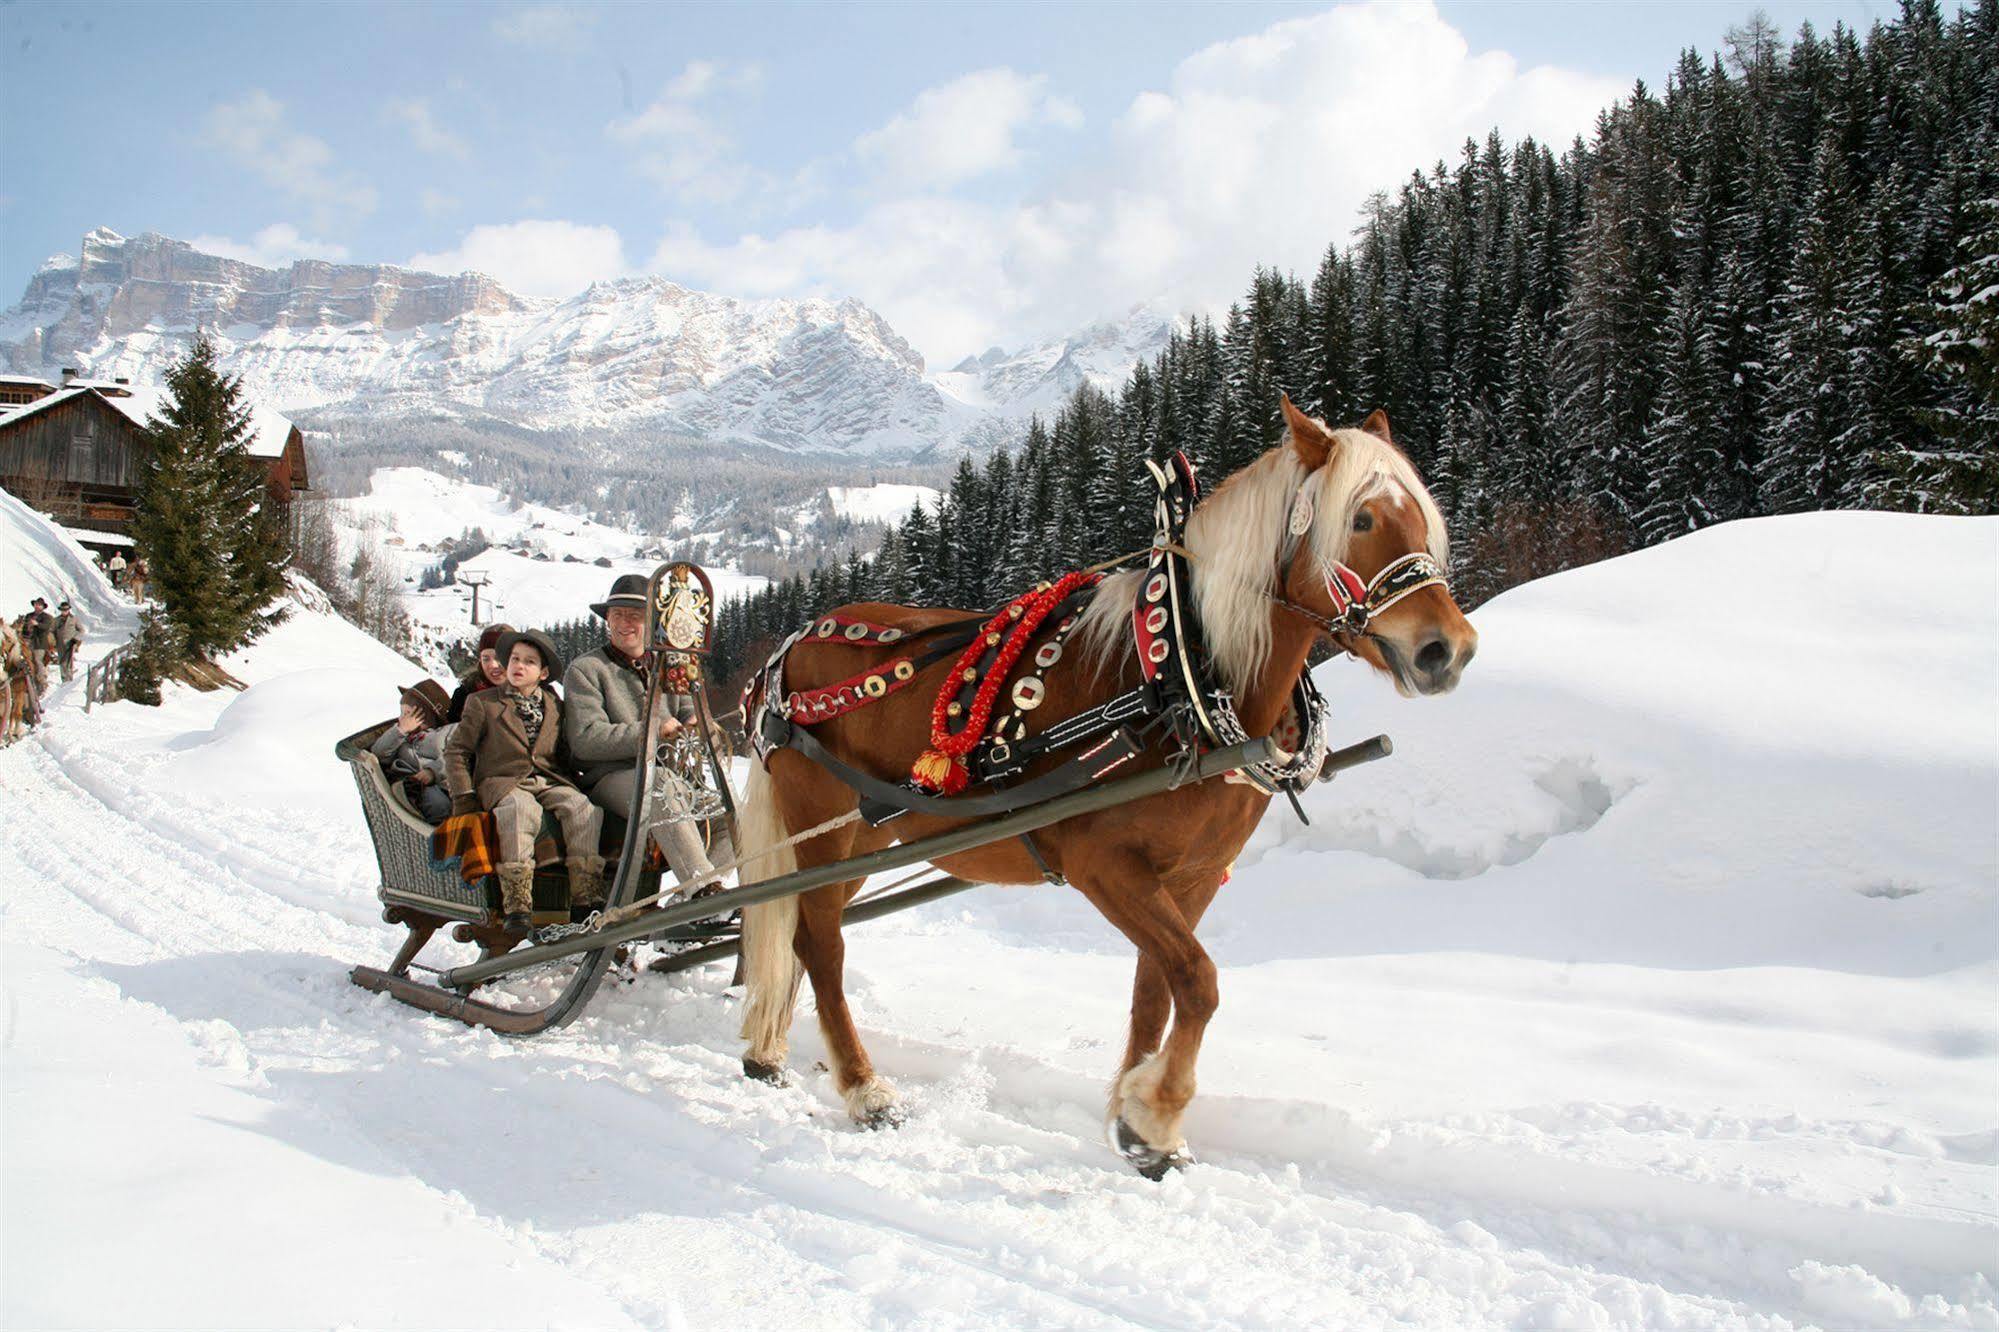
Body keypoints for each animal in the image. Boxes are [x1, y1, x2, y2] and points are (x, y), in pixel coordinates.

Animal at [739, 396, 1487, 1176]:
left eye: (1423, 518)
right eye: (1362, 520)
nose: (1448, 649)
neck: (1179, 673)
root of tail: (791, 647)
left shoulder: (1190, 878)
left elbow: (1158, 990)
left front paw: (1137, 1124)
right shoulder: (1104, 867)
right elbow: (1200, 982)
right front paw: (1157, 1114)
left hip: (860, 841)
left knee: (802, 934)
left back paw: (771, 1050)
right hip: (819, 830)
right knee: (821, 945)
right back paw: (864, 1088)